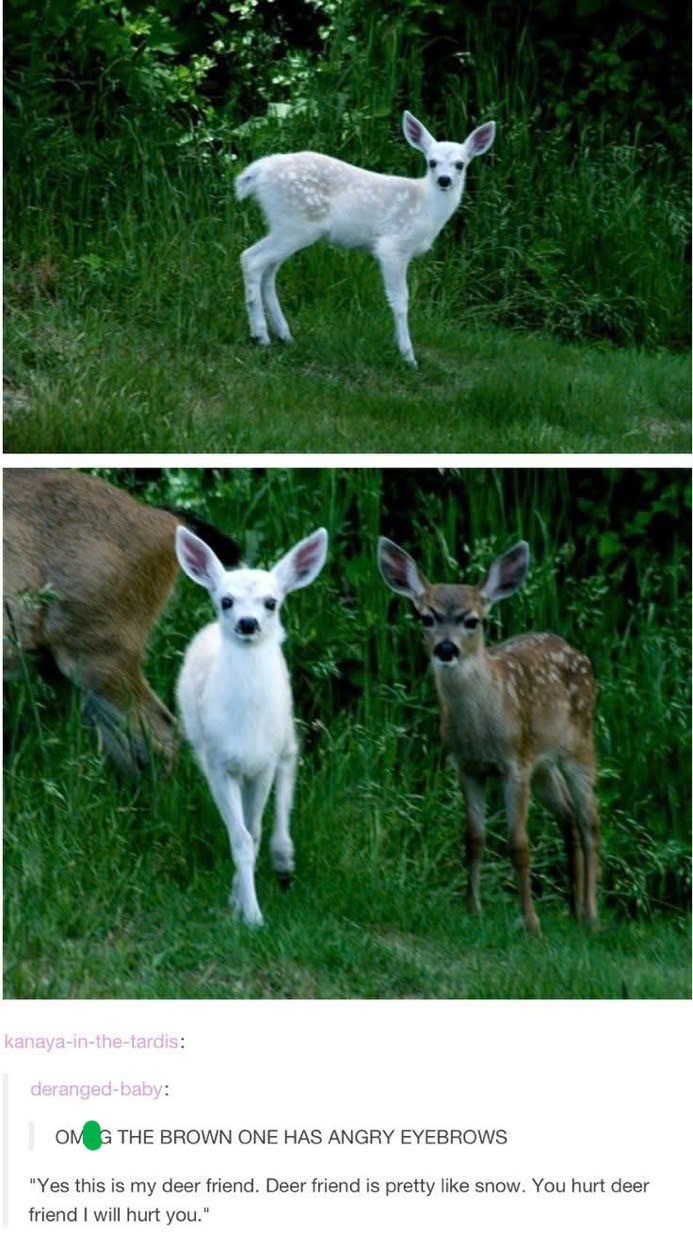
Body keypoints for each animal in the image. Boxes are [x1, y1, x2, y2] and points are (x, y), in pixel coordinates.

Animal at [175, 525, 328, 927]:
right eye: (226, 600)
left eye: (271, 602)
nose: (248, 623)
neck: (245, 726)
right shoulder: (218, 762)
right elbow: (240, 837)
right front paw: (249, 912)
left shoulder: (263, 763)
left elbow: (254, 832)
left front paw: (249, 907)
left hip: (284, 728)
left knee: (291, 764)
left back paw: (284, 857)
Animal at [236, 110, 496, 367]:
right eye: (431, 162)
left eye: (460, 164)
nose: (444, 180)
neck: (425, 208)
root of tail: (258, 171)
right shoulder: (392, 247)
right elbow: (400, 300)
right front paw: (408, 356)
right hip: (296, 224)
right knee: (251, 258)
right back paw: (260, 335)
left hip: (284, 225)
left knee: (268, 270)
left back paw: (284, 334)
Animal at [378, 537, 599, 935]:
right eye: (426, 618)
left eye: (472, 621)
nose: (446, 648)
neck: (481, 731)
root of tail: (579, 654)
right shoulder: (468, 767)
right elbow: (474, 839)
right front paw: (473, 909)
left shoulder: (515, 764)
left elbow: (519, 845)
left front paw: (530, 923)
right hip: (543, 765)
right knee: (569, 816)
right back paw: (573, 910)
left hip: (579, 745)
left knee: (590, 821)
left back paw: (591, 916)